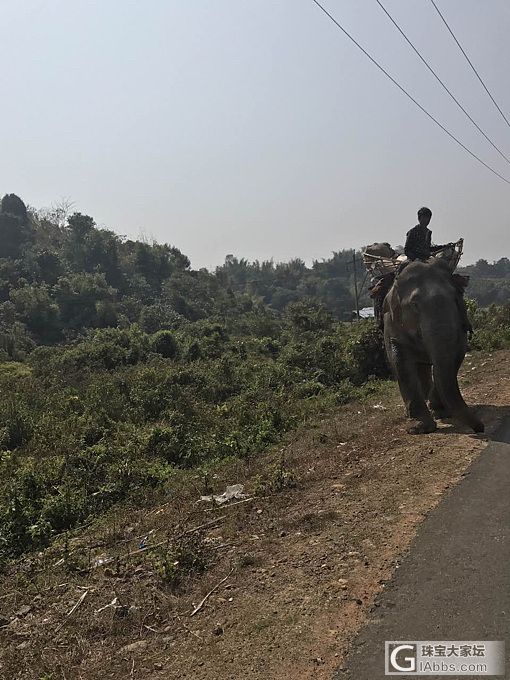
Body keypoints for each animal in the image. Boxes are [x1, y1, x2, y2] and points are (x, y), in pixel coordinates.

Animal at [382, 258, 486, 432]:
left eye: (456, 298)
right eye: (415, 304)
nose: (481, 427)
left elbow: (456, 356)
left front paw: (440, 412)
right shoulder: (391, 323)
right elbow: (399, 362)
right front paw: (420, 428)